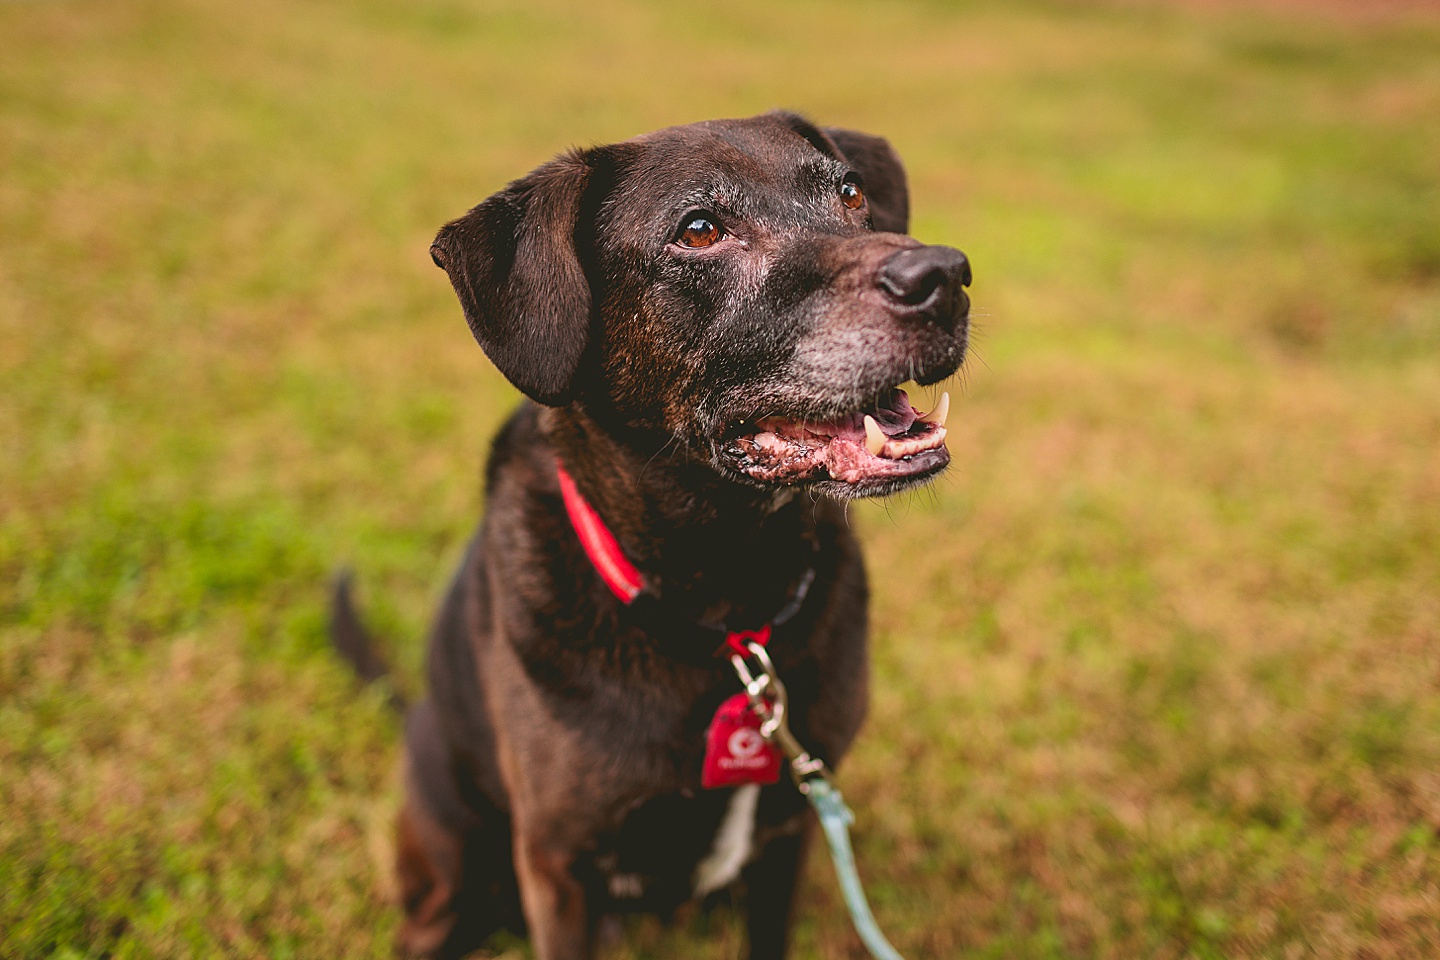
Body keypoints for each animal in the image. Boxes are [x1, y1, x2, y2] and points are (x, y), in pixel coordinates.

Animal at [331, 110, 973, 960]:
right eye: (699, 230)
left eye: (852, 193)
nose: (946, 276)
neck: (727, 602)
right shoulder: (559, 865)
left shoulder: (790, 832)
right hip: (456, 864)